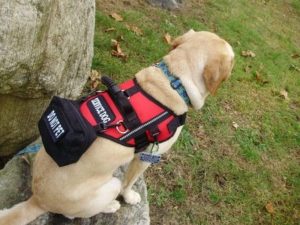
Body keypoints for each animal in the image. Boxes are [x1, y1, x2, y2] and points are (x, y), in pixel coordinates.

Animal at [0, 30, 234, 225]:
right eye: (232, 59)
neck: (173, 80)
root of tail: (37, 199)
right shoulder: (148, 155)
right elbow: (129, 182)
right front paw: (129, 197)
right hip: (108, 185)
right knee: (73, 213)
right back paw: (111, 205)